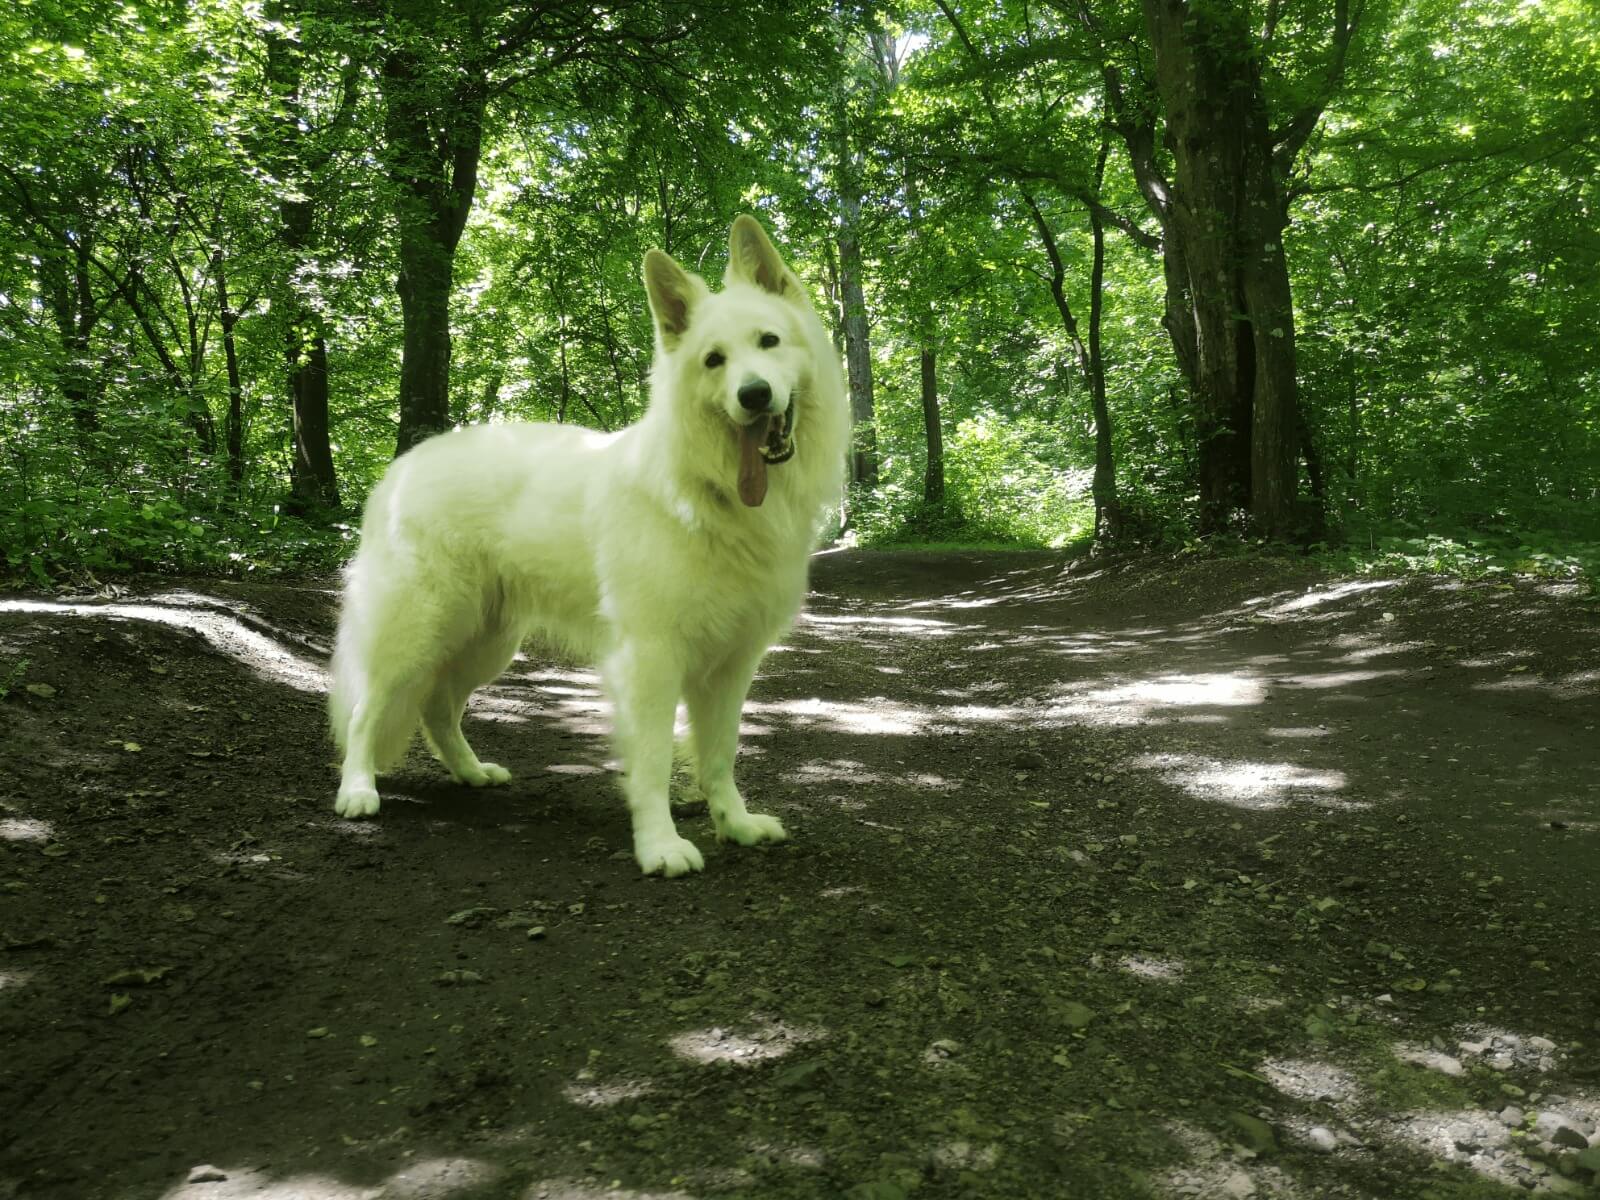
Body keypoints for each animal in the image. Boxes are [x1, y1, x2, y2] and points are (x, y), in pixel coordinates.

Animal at [326, 214, 851, 876]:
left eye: (769, 341)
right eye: (714, 361)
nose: (754, 395)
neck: (710, 493)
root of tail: (401, 468)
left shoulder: (732, 663)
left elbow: (719, 755)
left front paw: (735, 823)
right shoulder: (650, 658)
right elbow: (652, 762)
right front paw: (660, 846)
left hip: (484, 642)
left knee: (437, 709)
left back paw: (471, 772)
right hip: (419, 630)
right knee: (367, 710)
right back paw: (357, 789)